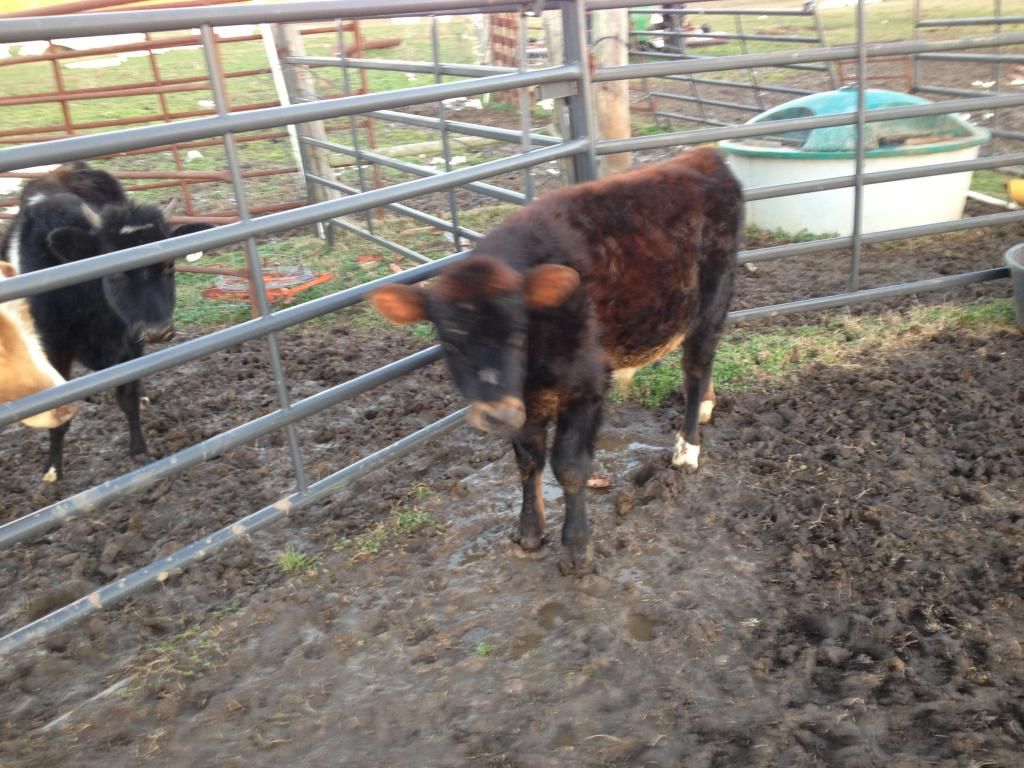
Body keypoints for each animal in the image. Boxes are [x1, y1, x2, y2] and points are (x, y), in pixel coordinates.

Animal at [371, 146, 743, 575]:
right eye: (449, 340)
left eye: (518, 331)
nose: (495, 415)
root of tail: (703, 155)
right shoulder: (525, 401)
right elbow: (527, 460)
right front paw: (529, 531)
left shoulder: (585, 386)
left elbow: (568, 466)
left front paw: (577, 548)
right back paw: (707, 408)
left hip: (712, 304)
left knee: (696, 366)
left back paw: (688, 448)